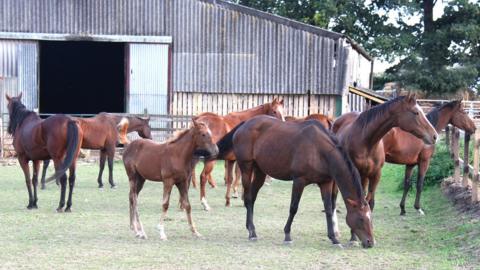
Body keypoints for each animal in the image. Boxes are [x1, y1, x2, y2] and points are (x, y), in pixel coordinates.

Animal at [217, 115, 376, 248]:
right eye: (361, 219)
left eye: (371, 218)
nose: (370, 242)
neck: (319, 150)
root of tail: (244, 124)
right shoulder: (299, 181)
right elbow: (293, 207)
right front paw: (287, 235)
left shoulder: (325, 183)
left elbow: (329, 209)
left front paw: (334, 238)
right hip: (246, 168)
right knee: (249, 198)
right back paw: (252, 232)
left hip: (260, 172)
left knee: (252, 198)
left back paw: (250, 229)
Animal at [334, 93, 438, 243]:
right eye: (416, 112)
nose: (435, 136)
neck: (366, 141)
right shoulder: (355, 173)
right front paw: (354, 237)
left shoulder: (376, 174)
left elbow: (369, 203)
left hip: (365, 176)